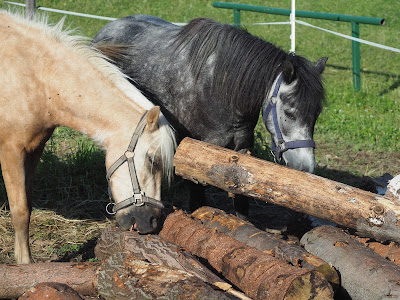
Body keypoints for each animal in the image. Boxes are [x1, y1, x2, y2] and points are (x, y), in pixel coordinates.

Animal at [0, 11, 175, 264]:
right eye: (153, 161)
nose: (152, 222)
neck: (35, 75)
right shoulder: (11, 151)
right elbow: (20, 211)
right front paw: (25, 264)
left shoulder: (33, 151)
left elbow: (28, 206)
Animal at [94, 15, 328, 218]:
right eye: (289, 111)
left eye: (316, 115)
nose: (306, 168)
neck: (219, 89)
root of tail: (107, 28)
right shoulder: (191, 145)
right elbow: (195, 188)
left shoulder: (242, 148)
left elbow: (241, 193)